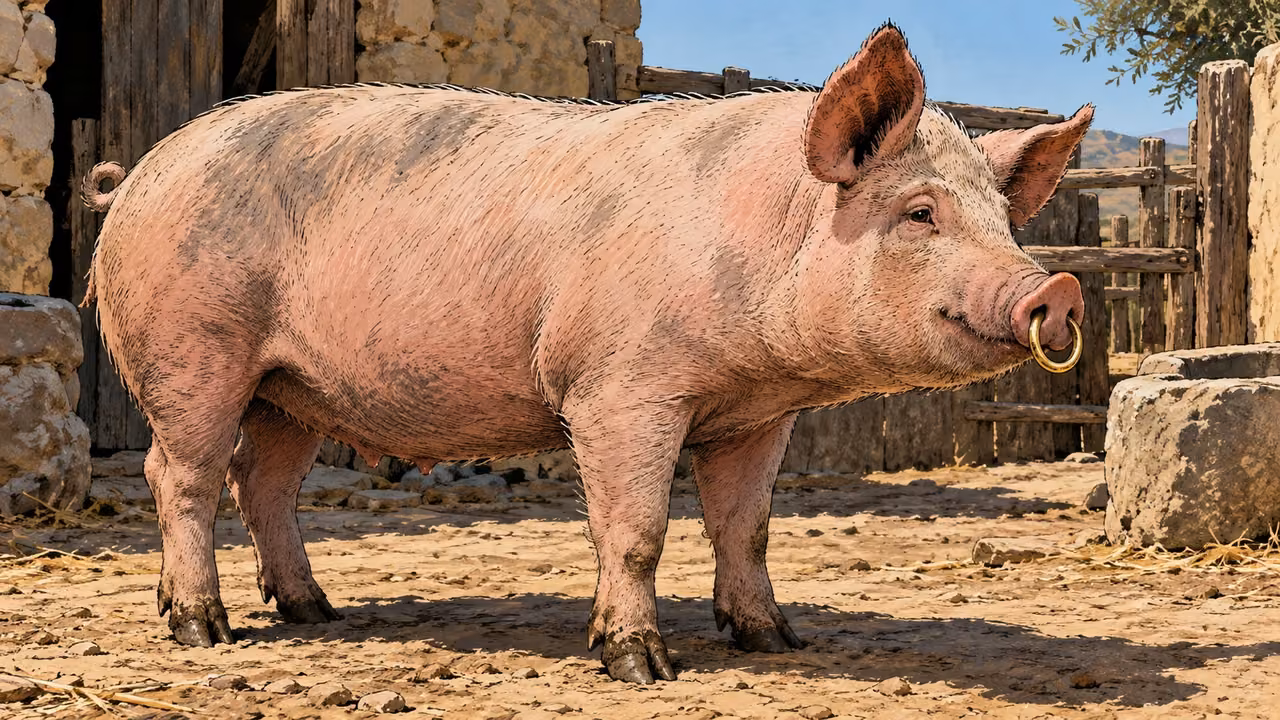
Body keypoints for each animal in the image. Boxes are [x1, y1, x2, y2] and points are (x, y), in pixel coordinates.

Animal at [79, 22, 1089, 684]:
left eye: (1003, 219)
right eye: (919, 212)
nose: (1056, 288)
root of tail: (140, 174)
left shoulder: (757, 417)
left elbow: (747, 528)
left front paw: (775, 641)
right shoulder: (617, 389)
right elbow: (634, 530)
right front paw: (642, 666)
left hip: (291, 387)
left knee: (264, 483)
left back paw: (315, 613)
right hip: (193, 349)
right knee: (182, 475)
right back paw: (204, 633)